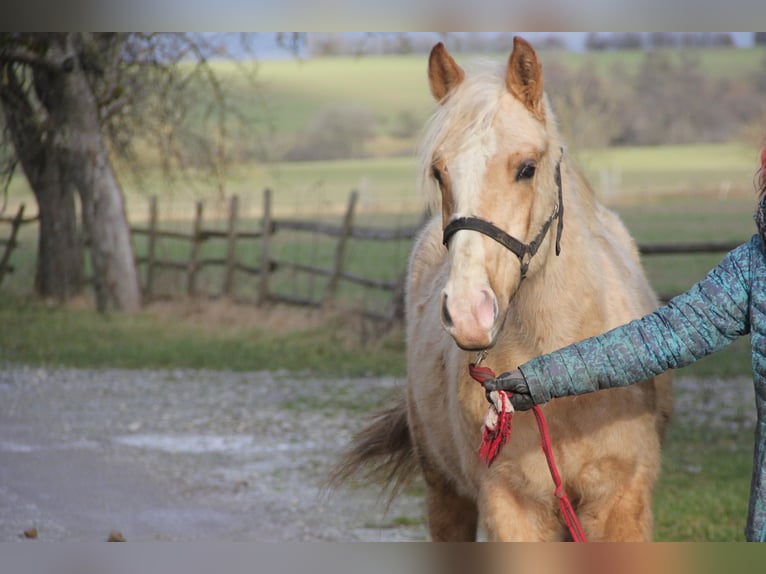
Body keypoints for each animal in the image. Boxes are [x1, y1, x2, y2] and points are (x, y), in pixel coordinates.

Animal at [332, 38, 676, 544]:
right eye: (439, 173)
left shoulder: (620, 503)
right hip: (443, 490)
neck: (562, 370)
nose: (468, 313)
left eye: (527, 168)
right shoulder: (511, 504)